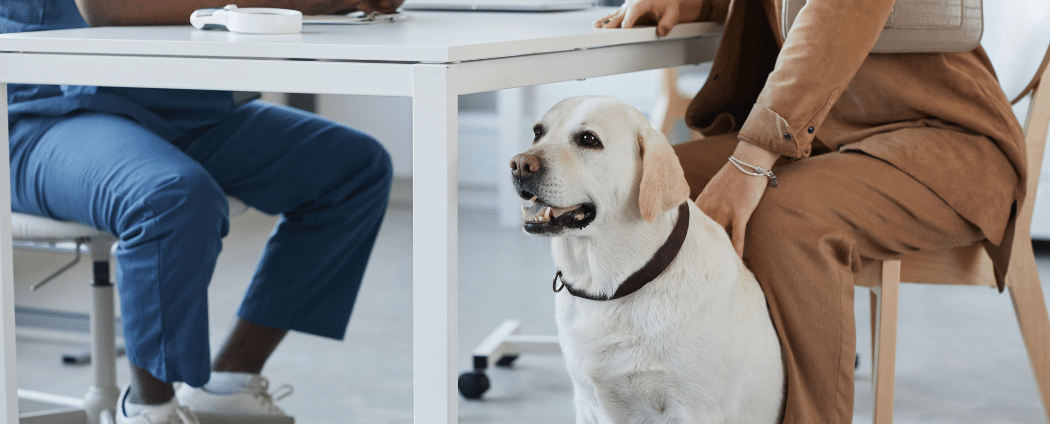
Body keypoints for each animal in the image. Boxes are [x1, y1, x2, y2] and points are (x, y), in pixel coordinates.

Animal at [512, 97, 785, 424]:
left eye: (588, 139)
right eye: (538, 132)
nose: (519, 165)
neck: (614, 286)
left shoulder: (695, 411)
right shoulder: (587, 399)